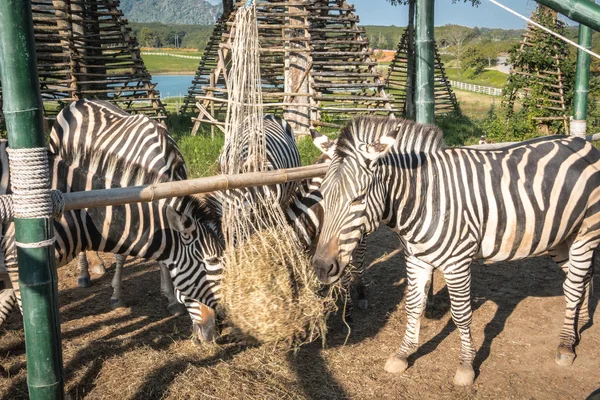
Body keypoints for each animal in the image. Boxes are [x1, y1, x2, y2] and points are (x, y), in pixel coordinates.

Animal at [312, 115, 596, 384]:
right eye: (323, 194)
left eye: (358, 198)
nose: (321, 267)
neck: (425, 198)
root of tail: (583, 142)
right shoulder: (415, 258)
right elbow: (413, 305)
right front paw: (403, 354)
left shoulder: (457, 263)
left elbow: (461, 315)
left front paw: (466, 366)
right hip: (561, 237)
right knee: (581, 279)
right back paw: (579, 326)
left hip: (586, 231)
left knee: (573, 286)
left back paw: (566, 345)